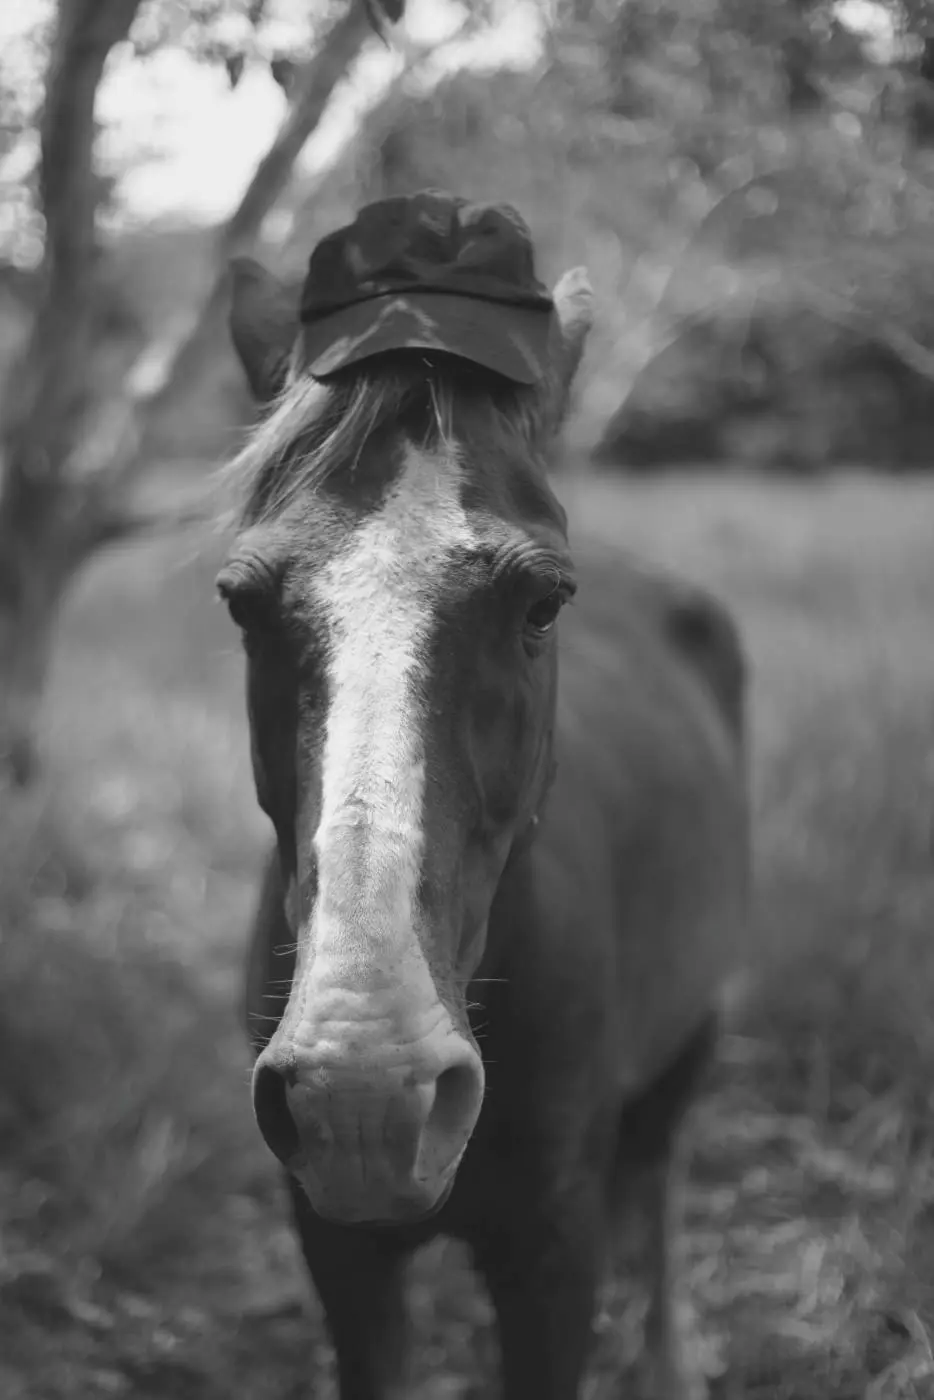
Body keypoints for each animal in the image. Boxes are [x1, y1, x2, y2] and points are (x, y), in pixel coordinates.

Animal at [219, 255, 749, 1400]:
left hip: (691, 1037)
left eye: (543, 603)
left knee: (661, 1181)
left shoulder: (555, 1250)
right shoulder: (342, 1253)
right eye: (240, 602)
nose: (365, 1090)